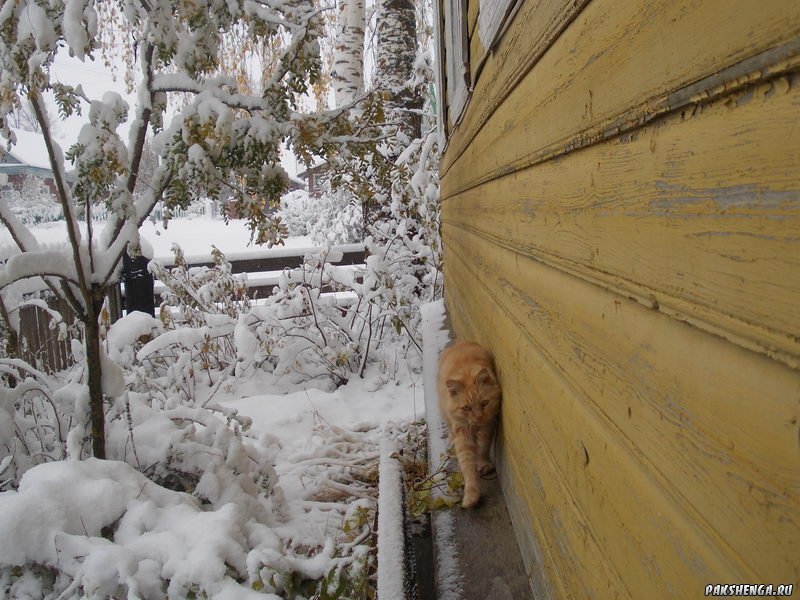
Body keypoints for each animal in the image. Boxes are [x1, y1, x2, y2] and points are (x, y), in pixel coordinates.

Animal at [438, 340, 500, 508]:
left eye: (484, 403)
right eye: (466, 408)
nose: (479, 417)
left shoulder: (488, 425)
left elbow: (483, 447)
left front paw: (484, 463)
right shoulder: (462, 433)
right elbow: (467, 466)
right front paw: (471, 496)